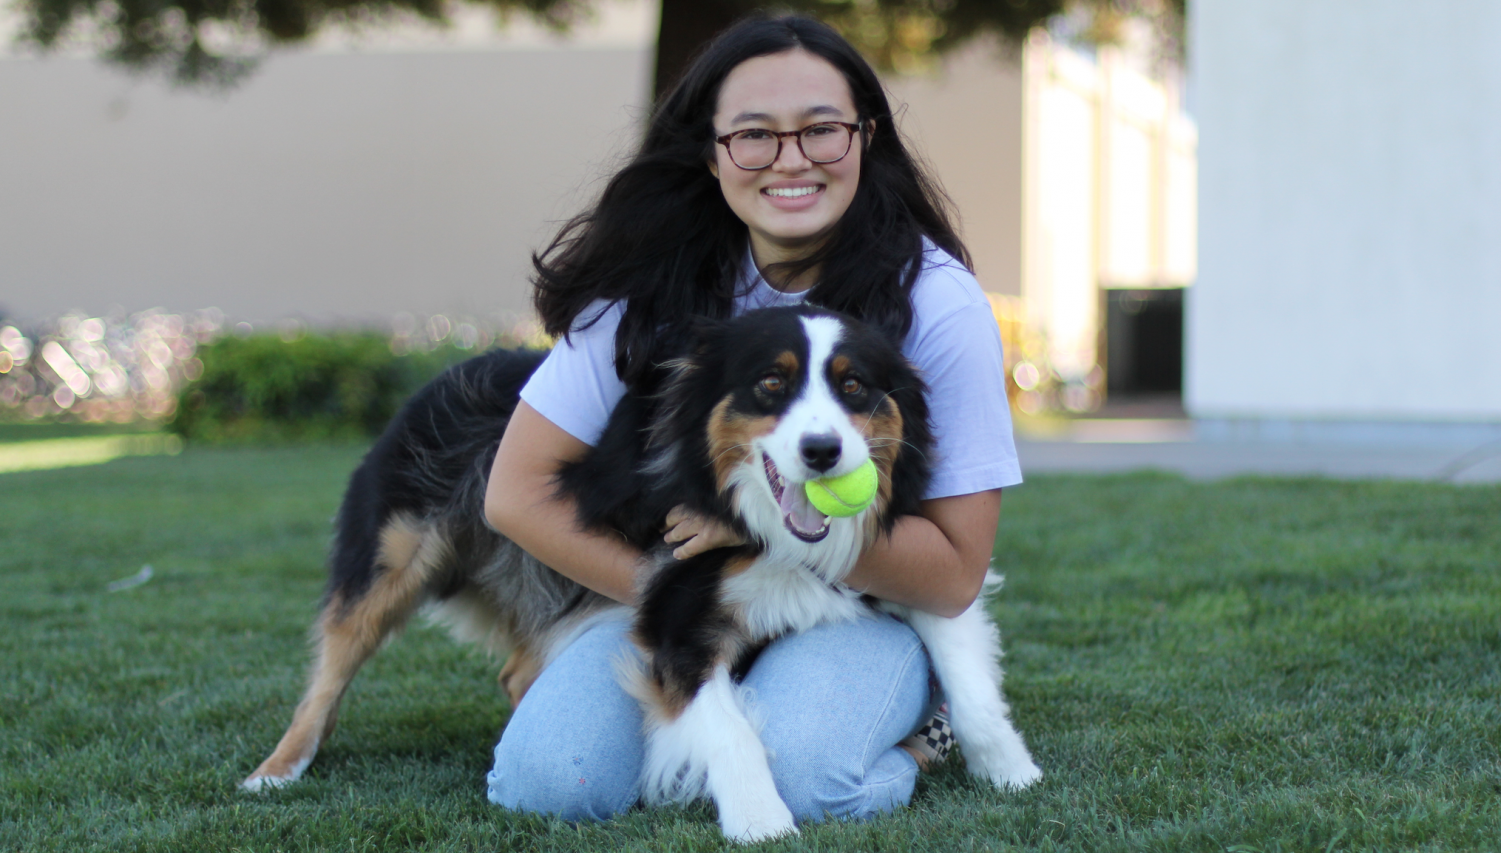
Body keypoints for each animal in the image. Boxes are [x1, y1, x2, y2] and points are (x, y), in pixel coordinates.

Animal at [246, 304, 1044, 840]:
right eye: (769, 384)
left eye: (854, 388)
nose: (822, 453)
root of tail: (450, 363)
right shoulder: (675, 614)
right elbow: (730, 729)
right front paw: (760, 819)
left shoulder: (916, 567)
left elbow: (972, 687)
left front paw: (1011, 770)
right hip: (393, 555)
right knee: (331, 668)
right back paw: (276, 769)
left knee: (517, 668)